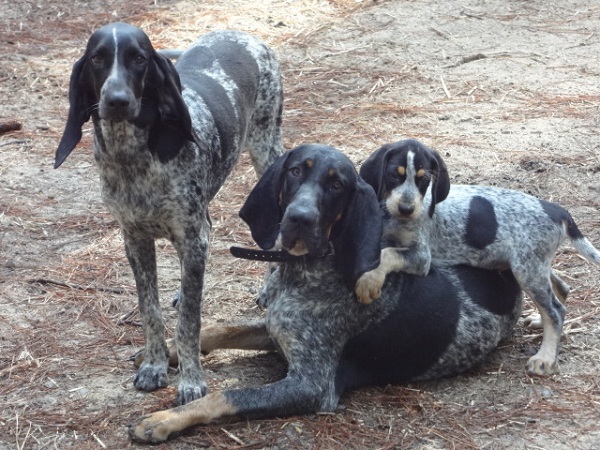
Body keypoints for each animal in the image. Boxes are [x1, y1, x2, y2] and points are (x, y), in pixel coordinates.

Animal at [54, 22, 284, 404]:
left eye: (139, 59)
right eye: (97, 58)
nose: (117, 100)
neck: (132, 155)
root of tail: (240, 32)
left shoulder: (191, 237)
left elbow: (189, 322)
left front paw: (191, 380)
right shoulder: (135, 240)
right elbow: (151, 311)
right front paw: (154, 365)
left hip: (267, 151)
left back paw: (271, 285)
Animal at [129, 145, 524, 442]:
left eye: (338, 186)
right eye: (294, 172)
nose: (299, 218)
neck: (305, 271)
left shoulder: (311, 385)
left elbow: (225, 395)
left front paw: (165, 418)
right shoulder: (276, 330)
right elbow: (217, 329)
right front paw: (166, 351)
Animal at [356, 139, 600, 374]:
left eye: (423, 179)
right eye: (393, 175)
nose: (406, 209)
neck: (395, 219)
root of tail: (557, 211)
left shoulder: (421, 258)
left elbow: (387, 254)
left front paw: (369, 281)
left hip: (527, 269)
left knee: (555, 311)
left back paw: (546, 358)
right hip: (532, 264)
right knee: (561, 290)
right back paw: (541, 322)